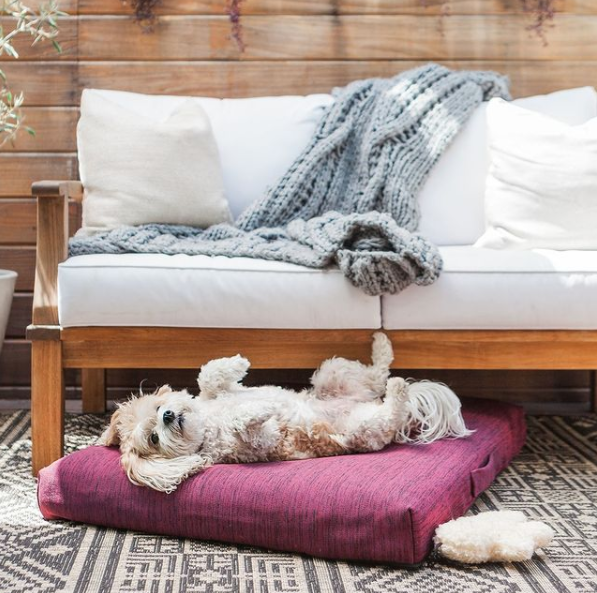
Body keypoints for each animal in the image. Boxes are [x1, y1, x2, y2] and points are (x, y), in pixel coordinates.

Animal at [99, 330, 470, 492]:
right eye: (153, 439)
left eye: (158, 407)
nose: (167, 417)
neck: (207, 424)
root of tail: (365, 402)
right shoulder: (258, 442)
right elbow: (251, 423)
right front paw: (262, 407)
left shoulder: (215, 393)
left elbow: (209, 375)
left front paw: (238, 362)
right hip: (364, 428)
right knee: (390, 404)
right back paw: (398, 389)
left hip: (332, 373)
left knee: (376, 372)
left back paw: (381, 343)